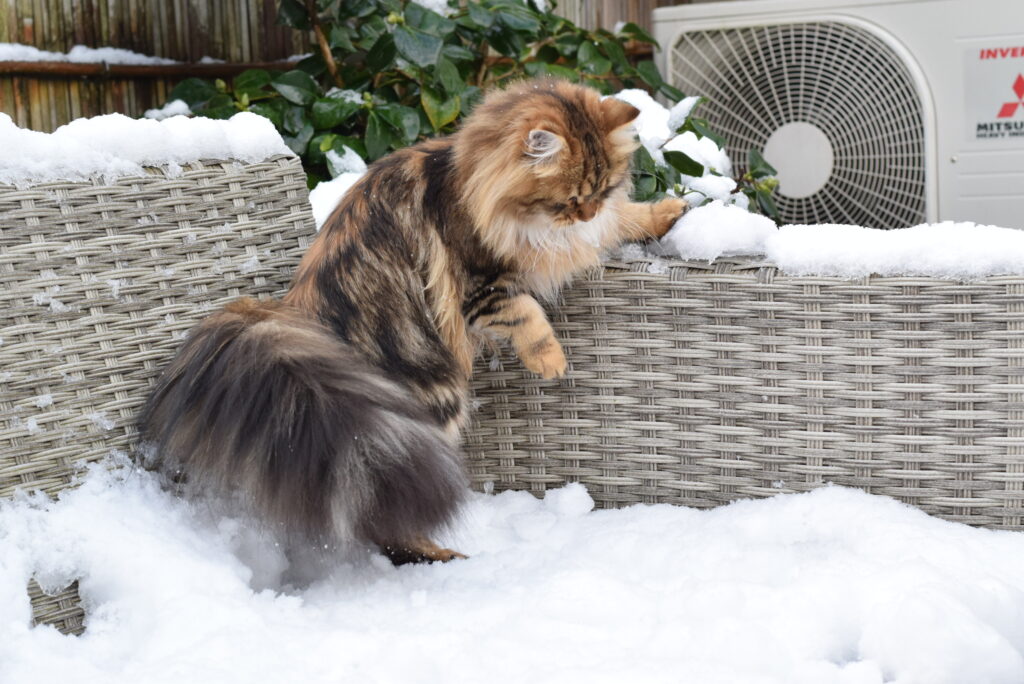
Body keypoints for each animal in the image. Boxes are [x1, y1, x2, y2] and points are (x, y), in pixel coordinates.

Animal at [141, 78, 687, 564]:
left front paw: (668, 211)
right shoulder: (479, 288)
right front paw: (550, 362)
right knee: (390, 523)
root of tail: (296, 323)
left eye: (603, 190)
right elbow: (526, 314)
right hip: (431, 403)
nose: (587, 212)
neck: (475, 184)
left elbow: (624, 221)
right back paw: (444, 557)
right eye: (569, 199)